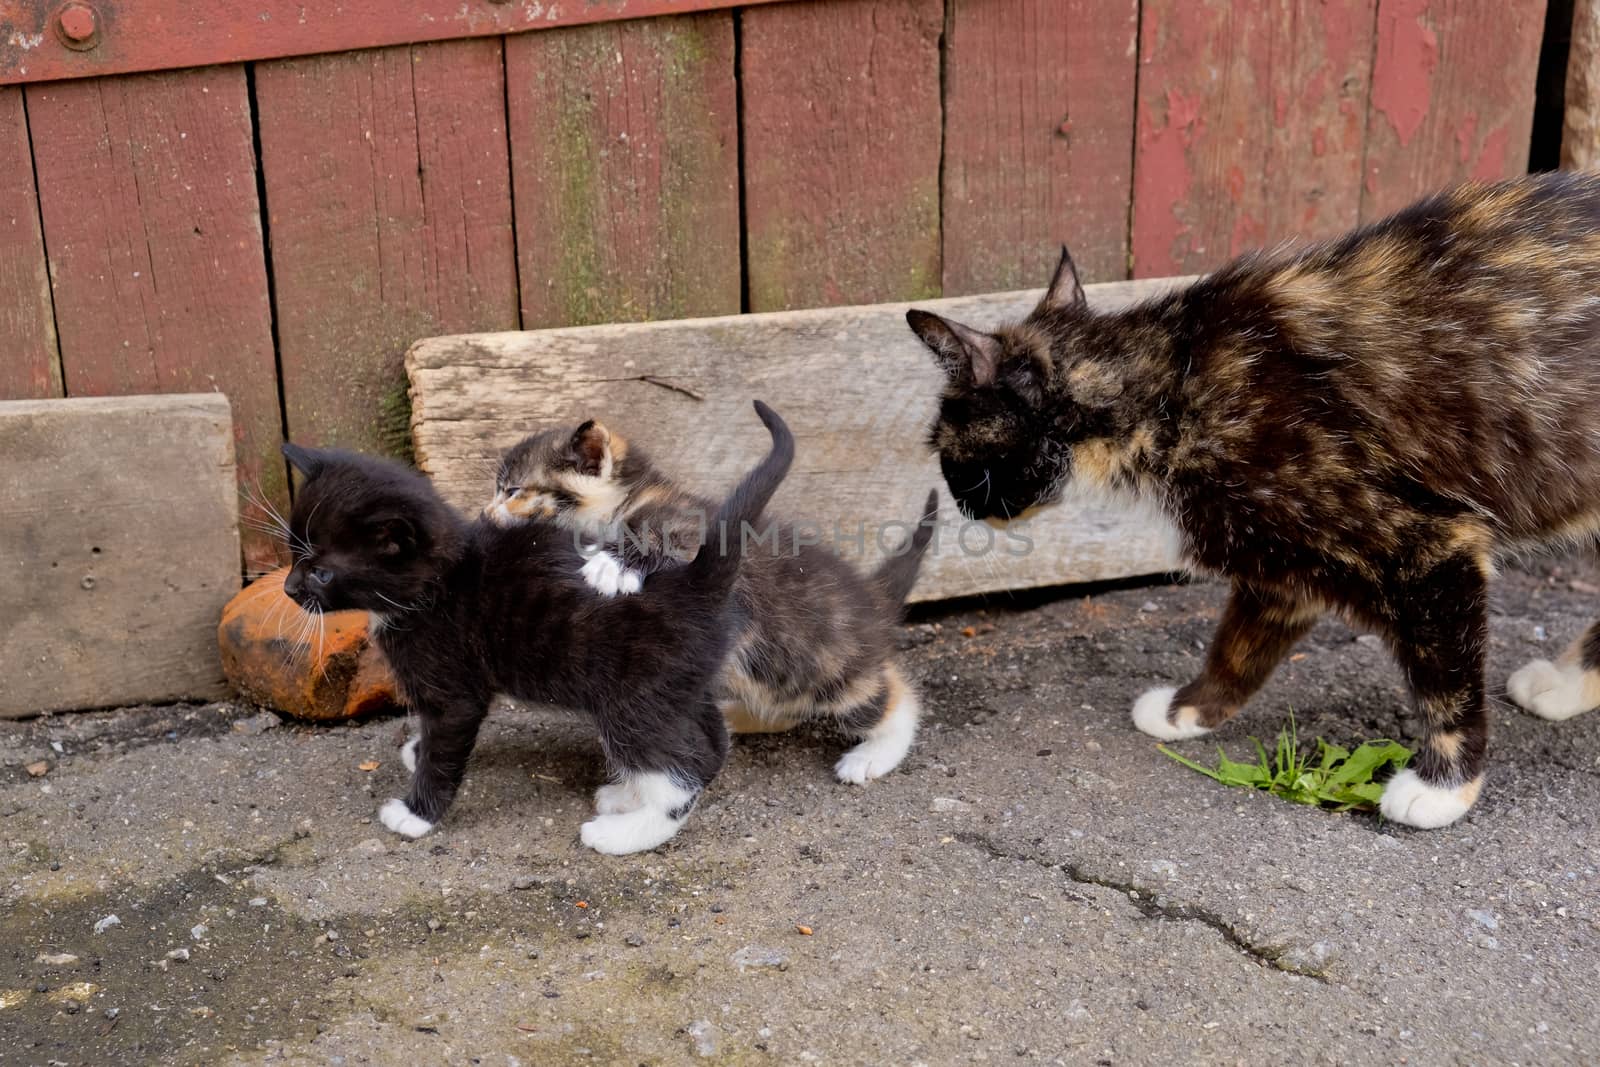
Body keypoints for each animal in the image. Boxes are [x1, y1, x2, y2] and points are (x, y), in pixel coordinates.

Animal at [283, 396, 800, 857]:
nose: (288, 588)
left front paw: (416, 814)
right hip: (677, 686)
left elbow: (446, 749)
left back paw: (625, 832)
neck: (440, 580)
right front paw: (417, 751)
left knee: (678, 770)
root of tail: (693, 580)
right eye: (292, 555)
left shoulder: (455, 694)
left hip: (632, 698)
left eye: (321, 572)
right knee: (710, 743)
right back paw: (628, 794)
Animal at [486, 419, 934, 783]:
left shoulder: (699, 527)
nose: (486, 513)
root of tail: (873, 599)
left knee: (896, 698)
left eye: (512, 491)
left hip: (830, 671)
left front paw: (612, 564)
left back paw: (872, 756)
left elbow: (655, 529)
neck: (630, 499)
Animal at [908, 171, 1600, 831]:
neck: (1169, 388)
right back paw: (1566, 686)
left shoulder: (1428, 548)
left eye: (947, 453)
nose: (958, 505)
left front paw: (1443, 787)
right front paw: (1187, 711)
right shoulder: (1282, 561)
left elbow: (1445, 681)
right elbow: (1238, 645)